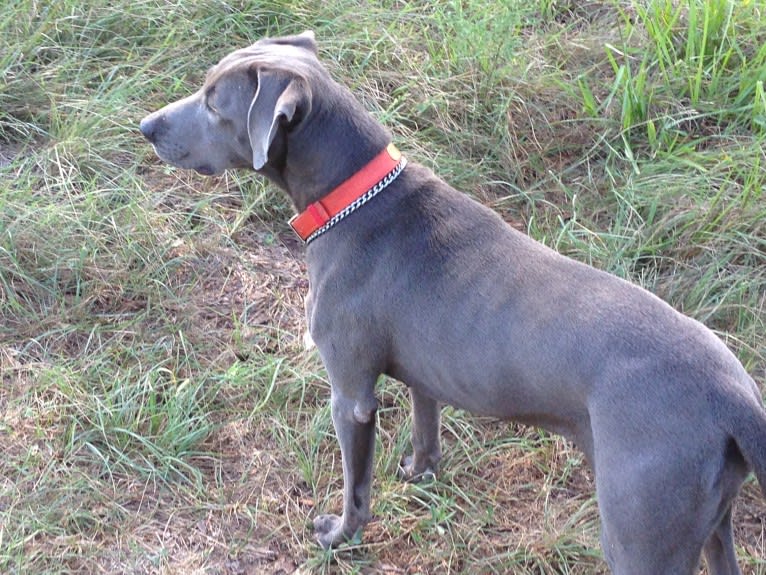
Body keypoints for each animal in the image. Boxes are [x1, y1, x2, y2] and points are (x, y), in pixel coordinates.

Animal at [140, 32, 766, 575]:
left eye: (214, 103)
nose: (146, 126)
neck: (355, 198)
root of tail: (732, 394)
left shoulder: (351, 396)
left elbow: (356, 486)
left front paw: (339, 536)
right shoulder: (425, 375)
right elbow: (426, 429)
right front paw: (418, 472)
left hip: (641, 530)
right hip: (712, 520)